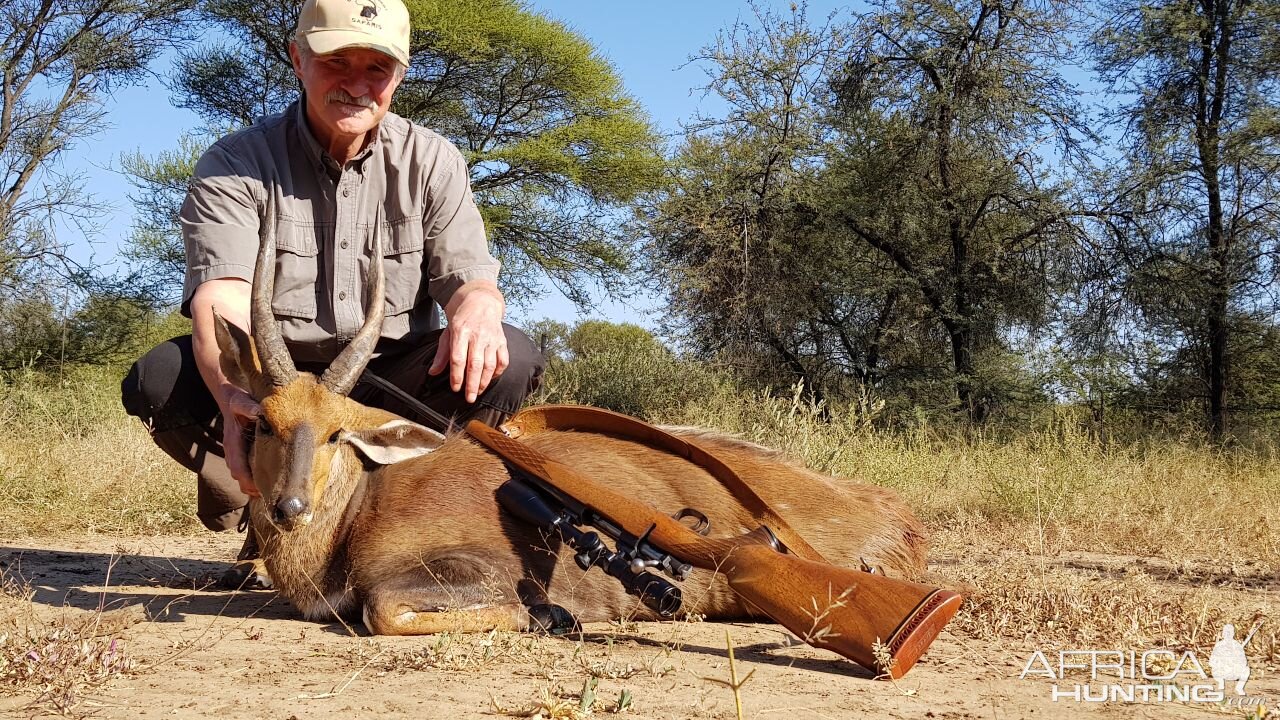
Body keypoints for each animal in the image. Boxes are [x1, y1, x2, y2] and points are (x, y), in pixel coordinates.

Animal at [215, 220, 926, 632]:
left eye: (337, 432)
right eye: (264, 423)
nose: (289, 507)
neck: (358, 510)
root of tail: (895, 516)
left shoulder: (471, 569)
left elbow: (382, 608)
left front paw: (548, 614)